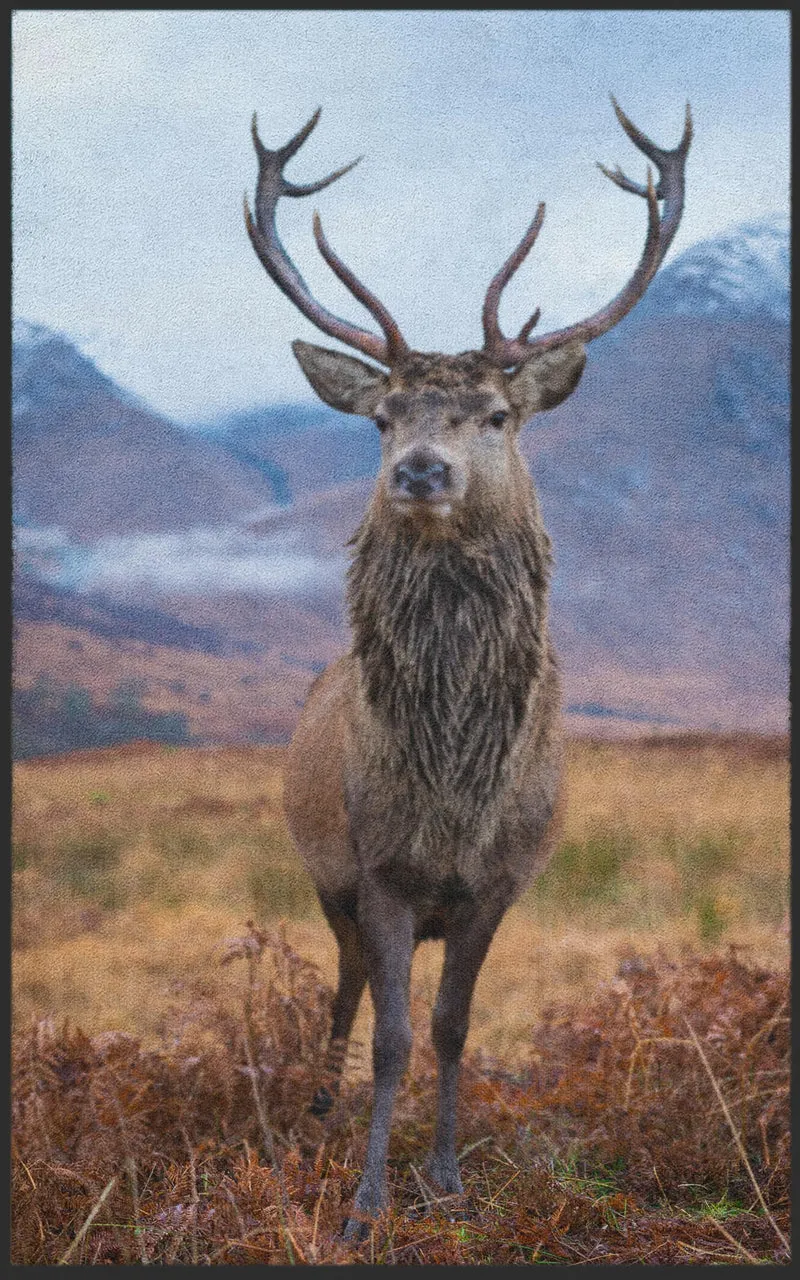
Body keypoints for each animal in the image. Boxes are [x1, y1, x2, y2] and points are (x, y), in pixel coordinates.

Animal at [243, 96, 691, 1240]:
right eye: (381, 416)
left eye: (496, 415)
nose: (419, 470)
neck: (453, 793)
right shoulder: (380, 869)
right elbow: (394, 1035)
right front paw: (364, 1204)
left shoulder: (500, 881)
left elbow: (451, 1027)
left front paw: (445, 1179)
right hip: (324, 872)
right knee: (344, 987)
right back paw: (317, 1109)